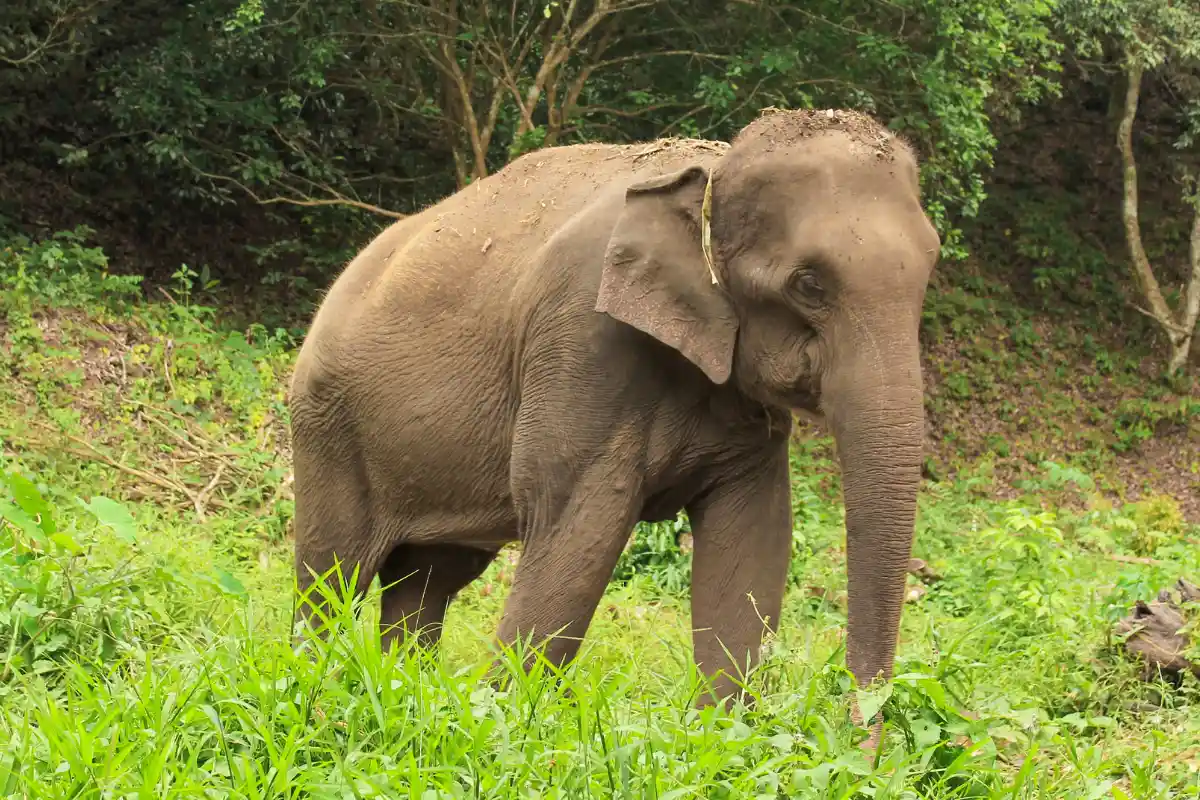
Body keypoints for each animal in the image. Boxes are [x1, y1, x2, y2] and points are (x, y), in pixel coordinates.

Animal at [289, 108, 939, 743]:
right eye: (808, 283)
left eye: (931, 265)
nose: (862, 735)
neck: (714, 167)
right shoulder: (583, 340)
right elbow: (578, 525)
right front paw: (502, 726)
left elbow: (754, 533)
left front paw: (719, 741)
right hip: (328, 429)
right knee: (332, 576)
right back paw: (315, 690)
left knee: (427, 581)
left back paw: (403, 690)